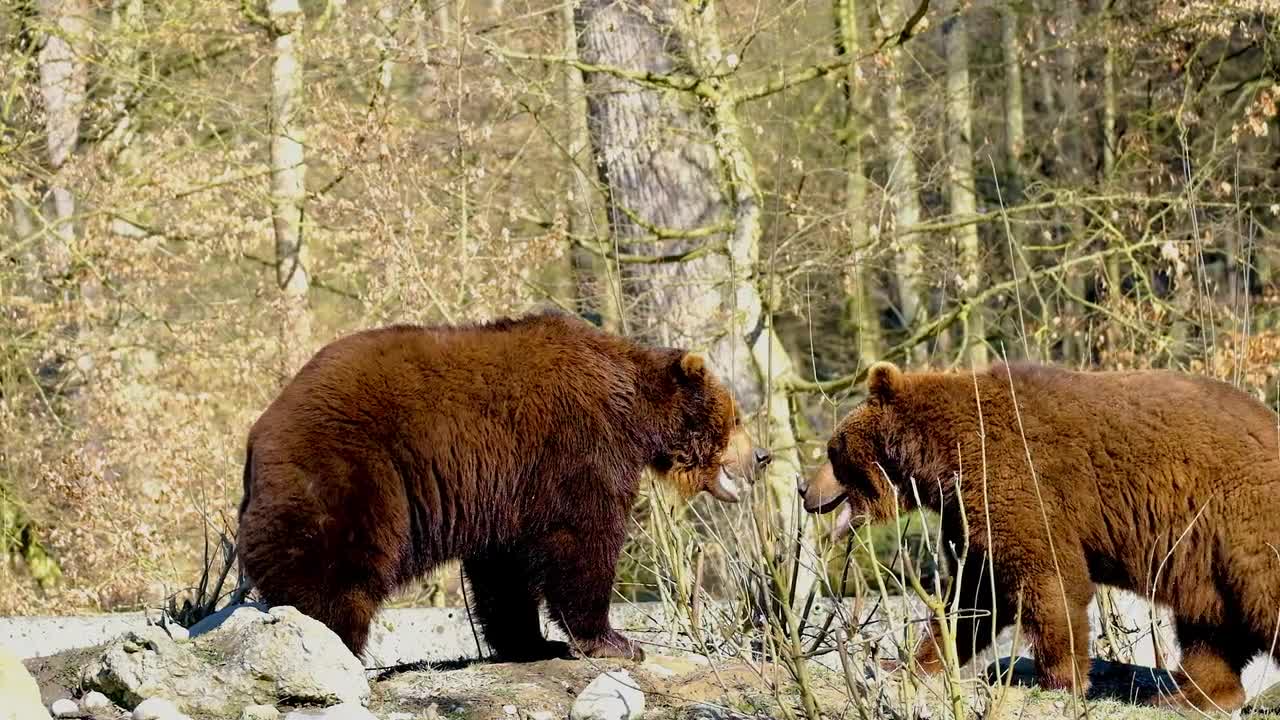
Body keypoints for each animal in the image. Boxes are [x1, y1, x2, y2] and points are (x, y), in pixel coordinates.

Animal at [798, 361, 1280, 707]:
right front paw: (912, 663)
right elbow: (974, 598)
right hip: (1204, 556)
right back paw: (1191, 695)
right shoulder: (971, 514)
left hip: (1240, 520)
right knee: (1209, 629)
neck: (942, 459)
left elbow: (1048, 578)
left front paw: (1063, 679)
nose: (804, 488)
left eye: (833, 450)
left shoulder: (1018, 479)